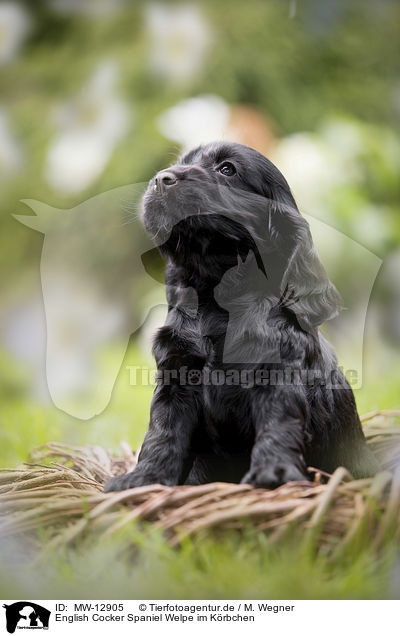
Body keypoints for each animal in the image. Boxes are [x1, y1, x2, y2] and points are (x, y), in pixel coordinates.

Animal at [104, 143, 378, 492]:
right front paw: (143, 479)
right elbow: (162, 430)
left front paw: (273, 474)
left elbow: (277, 423)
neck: (216, 296)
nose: (160, 180)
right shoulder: (176, 373)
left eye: (227, 169)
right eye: (181, 163)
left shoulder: (277, 371)